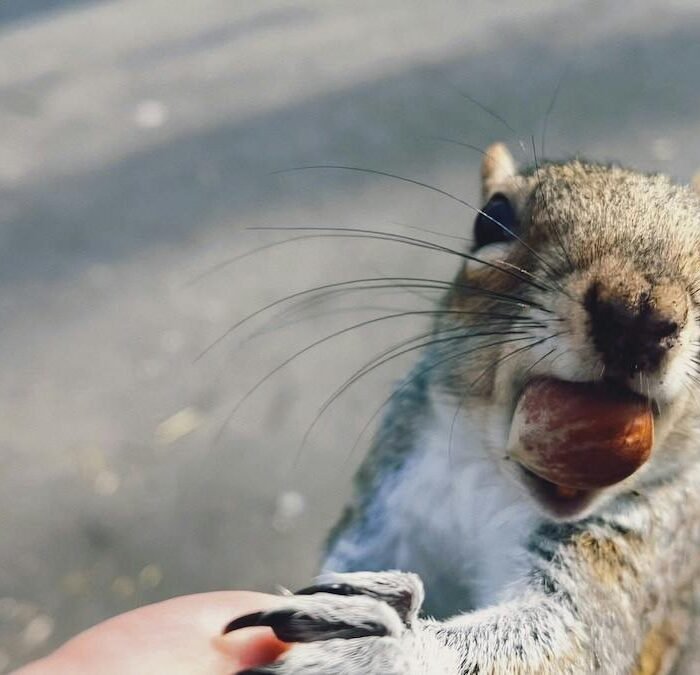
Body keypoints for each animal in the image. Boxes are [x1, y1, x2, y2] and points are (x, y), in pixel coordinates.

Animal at [226, 143, 700, 674]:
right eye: (492, 218)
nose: (637, 312)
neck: (489, 476)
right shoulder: (390, 504)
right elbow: (354, 553)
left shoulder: (636, 554)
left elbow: (568, 637)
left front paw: (376, 646)